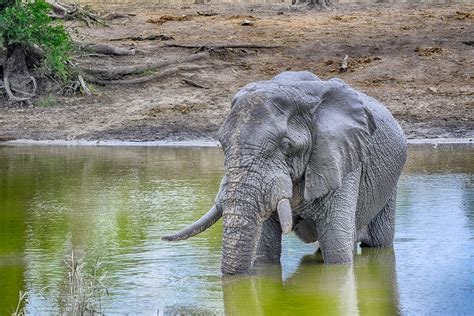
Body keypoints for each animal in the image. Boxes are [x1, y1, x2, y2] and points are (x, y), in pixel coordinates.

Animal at [164, 71, 408, 274]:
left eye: (285, 146)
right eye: (222, 144)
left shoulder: (342, 156)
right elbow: (265, 253)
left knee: (377, 242)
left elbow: (337, 248)